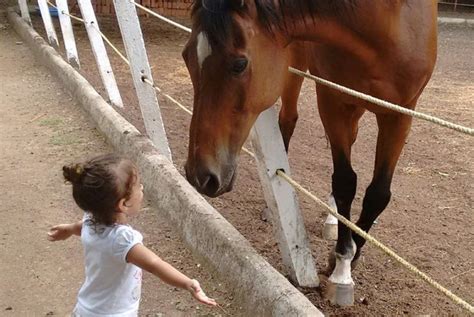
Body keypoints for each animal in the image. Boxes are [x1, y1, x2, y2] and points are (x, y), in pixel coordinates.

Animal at [181, 0, 436, 306]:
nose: (199, 175)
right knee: (288, 121)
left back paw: (332, 218)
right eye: (186, 57)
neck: (387, 23)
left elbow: (377, 194)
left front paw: (348, 259)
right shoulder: (332, 100)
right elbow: (345, 181)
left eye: (239, 64)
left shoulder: (400, 114)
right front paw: (342, 267)